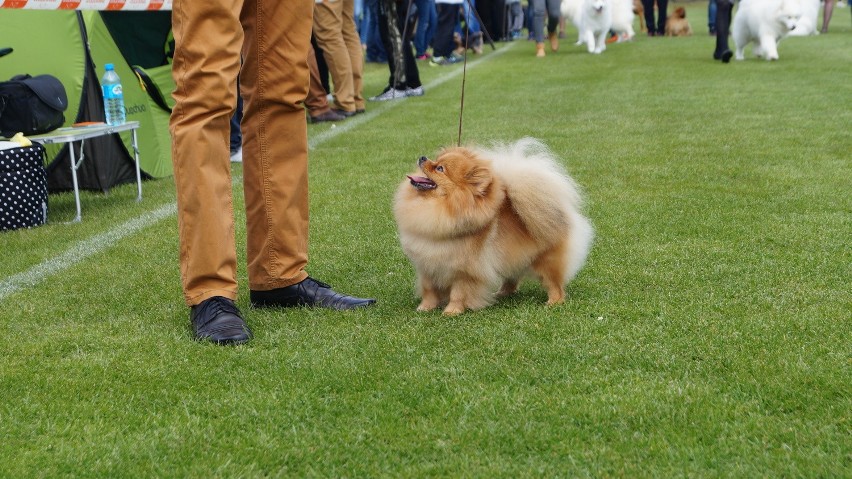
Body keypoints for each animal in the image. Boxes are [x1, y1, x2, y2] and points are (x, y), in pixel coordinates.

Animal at [392, 138, 592, 316]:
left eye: (440, 168)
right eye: (435, 160)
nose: (423, 158)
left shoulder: (464, 271)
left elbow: (458, 293)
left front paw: (452, 311)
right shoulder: (427, 266)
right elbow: (428, 290)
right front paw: (425, 308)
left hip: (546, 260)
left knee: (554, 283)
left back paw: (553, 301)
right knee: (512, 277)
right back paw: (502, 293)